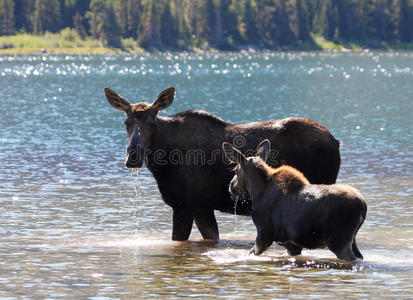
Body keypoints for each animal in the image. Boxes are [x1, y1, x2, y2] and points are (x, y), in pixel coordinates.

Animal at [104, 86, 340, 241]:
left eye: (152, 122)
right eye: (126, 122)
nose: (133, 156)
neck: (161, 165)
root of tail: (336, 141)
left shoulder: (185, 205)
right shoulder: (201, 207)